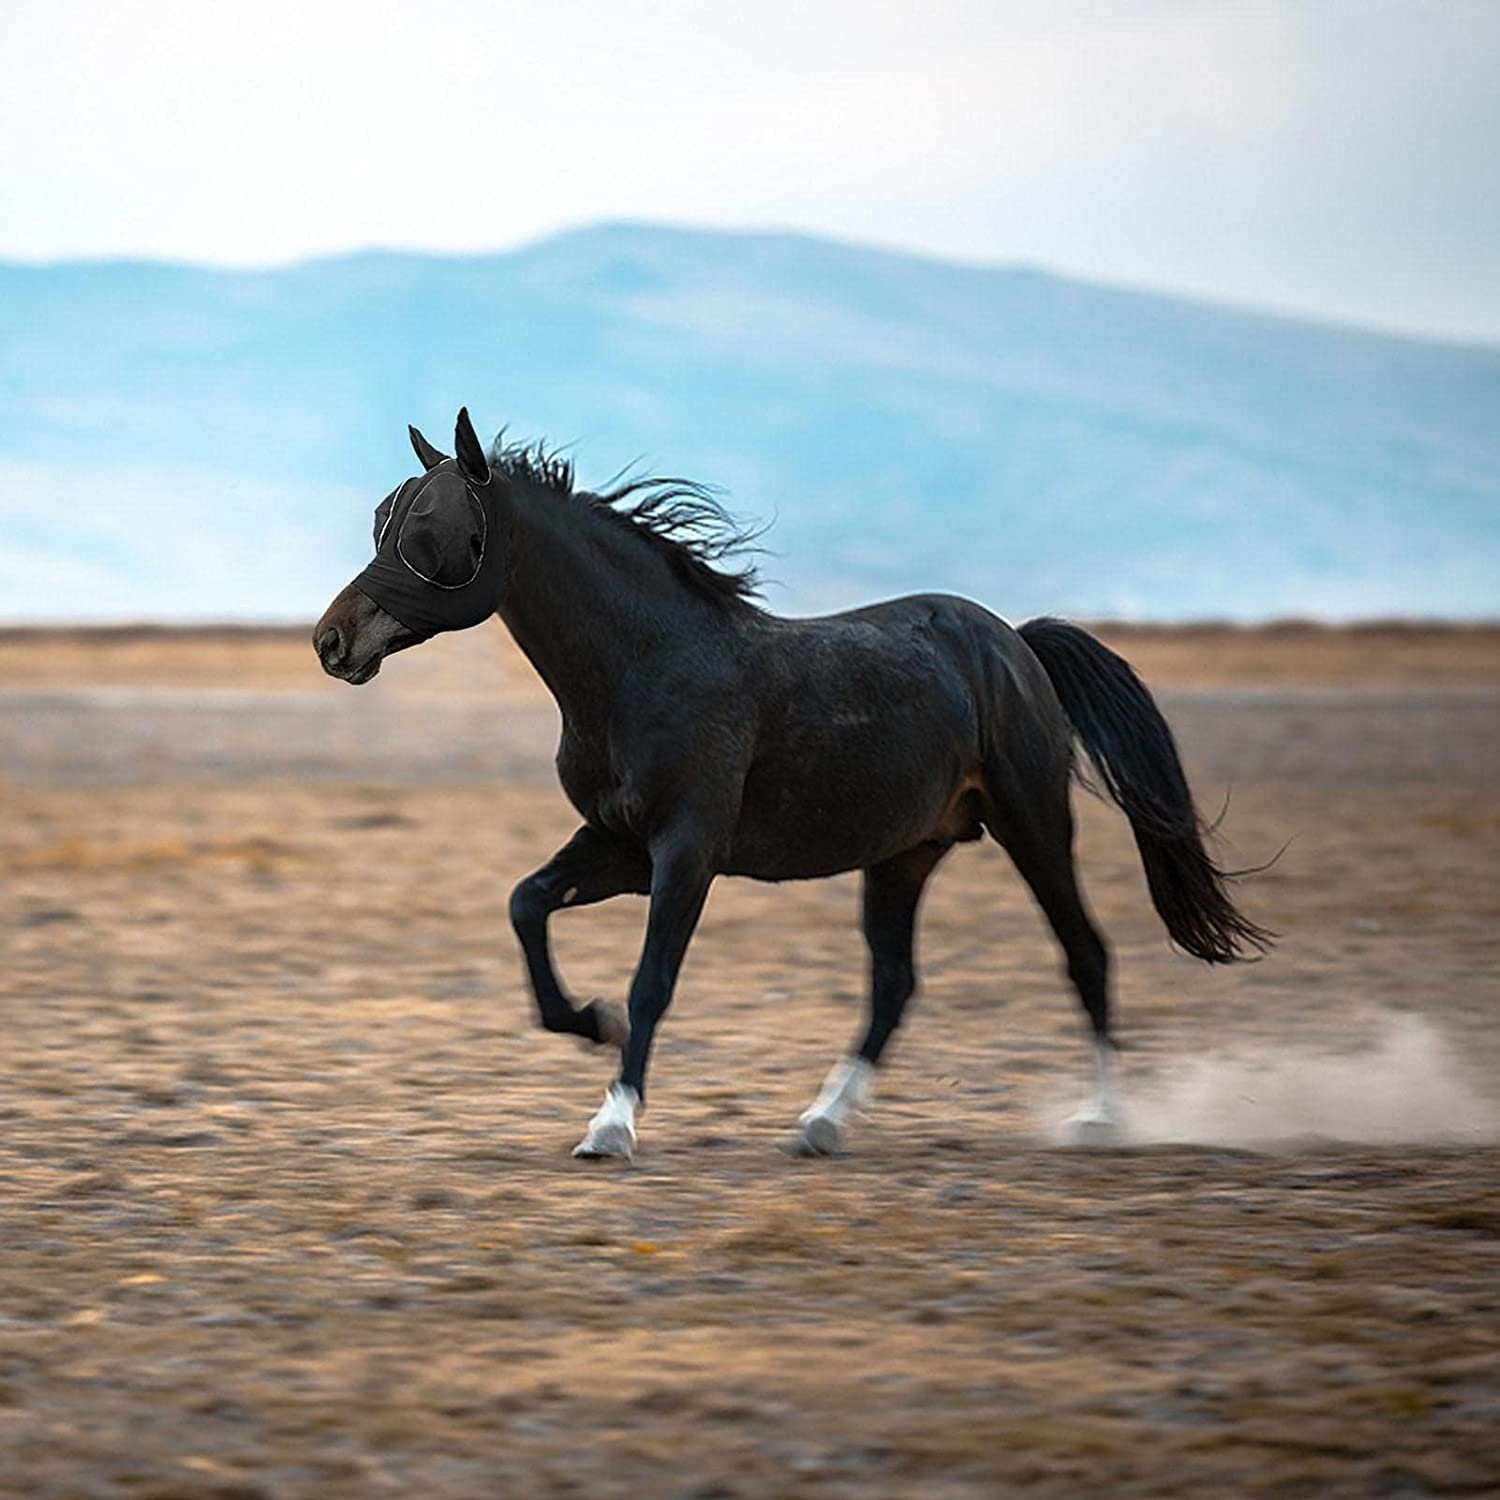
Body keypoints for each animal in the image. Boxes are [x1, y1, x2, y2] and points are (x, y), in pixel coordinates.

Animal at [313, 411, 1266, 1158]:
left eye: (430, 526)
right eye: (382, 516)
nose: (331, 642)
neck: (642, 665)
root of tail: (1016, 647)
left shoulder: (686, 851)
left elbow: (652, 979)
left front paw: (612, 1124)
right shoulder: (619, 845)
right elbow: (526, 905)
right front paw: (588, 1020)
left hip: (1033, 826)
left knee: (1085, 954)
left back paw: (1099, 1120)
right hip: (905, 853)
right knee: (895, 984)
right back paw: (822, 1122)